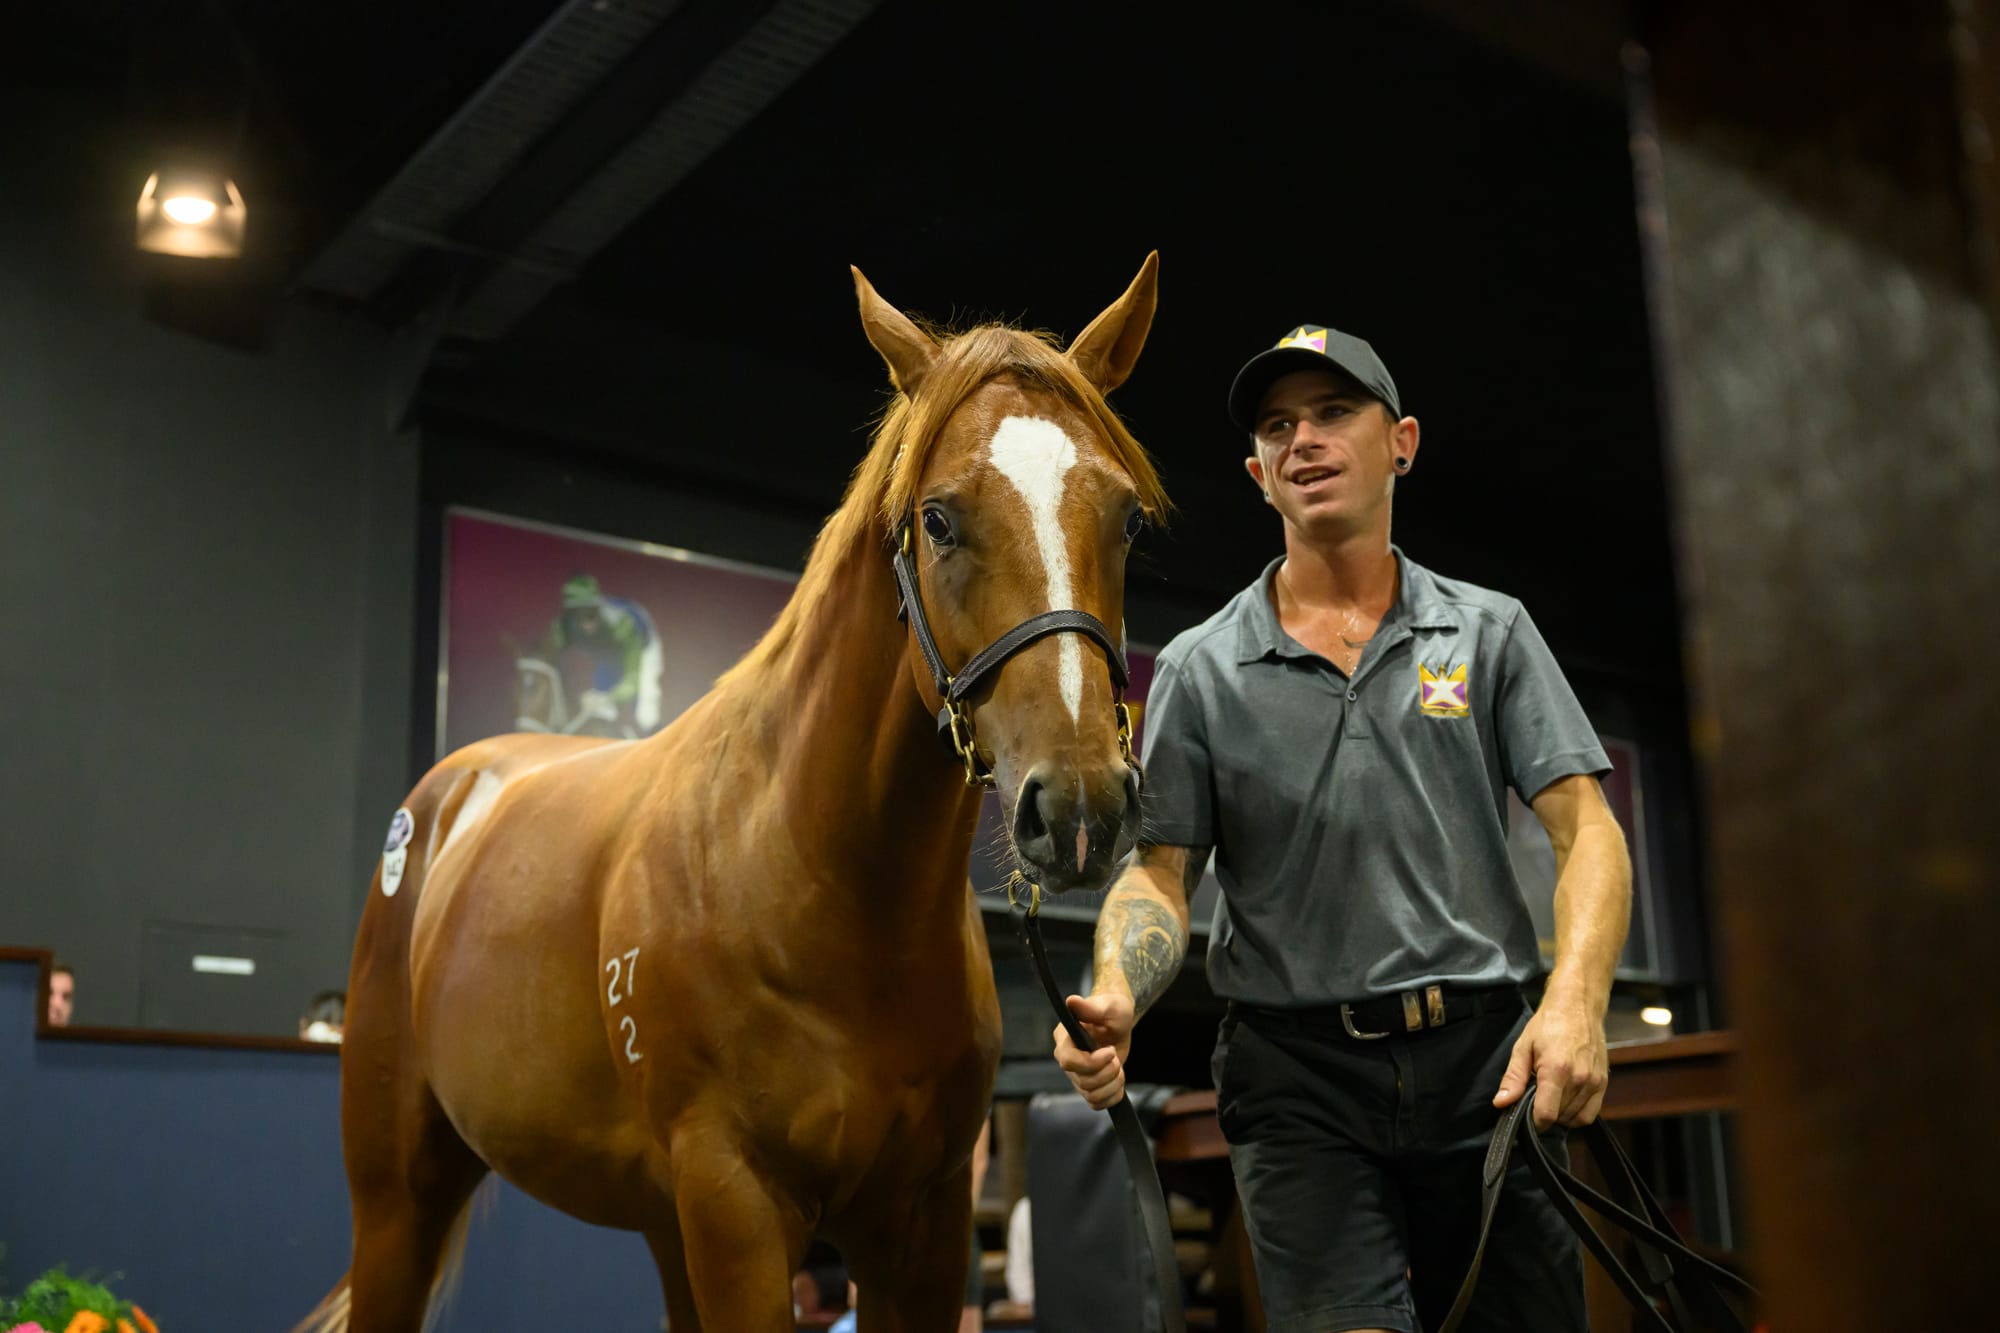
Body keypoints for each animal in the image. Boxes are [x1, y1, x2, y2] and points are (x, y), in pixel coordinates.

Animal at [302, 254, 1168, 1320]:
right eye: (938, 518)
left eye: (1126, 519)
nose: (1083, 805)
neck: (814, 887)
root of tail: (444, 802)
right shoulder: (737, 1204)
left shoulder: (920, 1225)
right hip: (400, 1200)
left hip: (657, 1221)